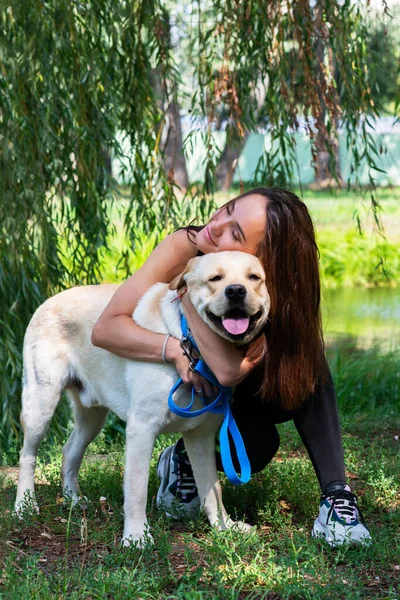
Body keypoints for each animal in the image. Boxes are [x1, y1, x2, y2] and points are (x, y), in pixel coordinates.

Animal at [16, 251, 272, 548]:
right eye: (215, 278)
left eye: (254, 278)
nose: (236, 291)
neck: (192, 346)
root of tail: (48, 300)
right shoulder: (141, 427)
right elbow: (136, 488)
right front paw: (136, 537)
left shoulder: (202, 435)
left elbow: (213, 487)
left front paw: (224, 526)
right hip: (41, 403)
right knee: (27, 455)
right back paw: (24, 505)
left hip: (92, 417)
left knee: (69, 452)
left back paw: (73, 501)